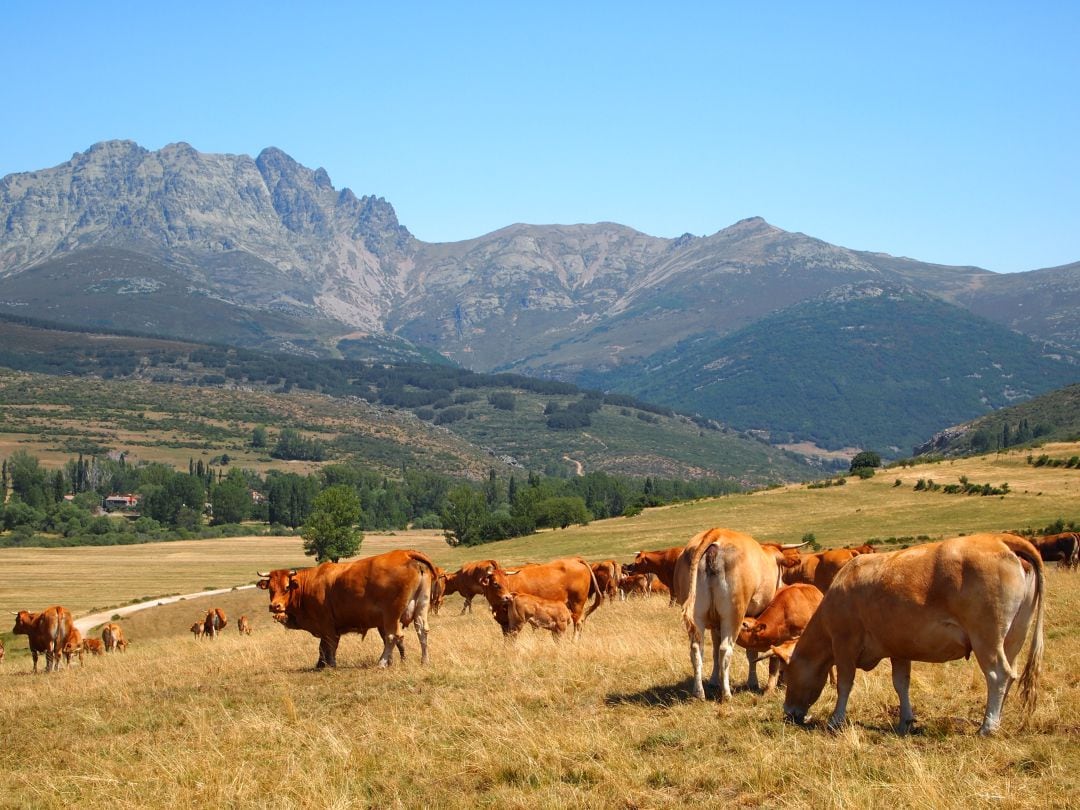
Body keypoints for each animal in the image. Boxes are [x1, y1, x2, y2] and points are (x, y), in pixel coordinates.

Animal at [254, 548, 436, 669]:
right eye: (270, 588)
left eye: (286, 587)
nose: (274, 606)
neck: (308, 584)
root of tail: (406, 553)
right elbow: (322, 647)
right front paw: (320, 664)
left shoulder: (326, 624)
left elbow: (330, 644)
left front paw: (330, 664)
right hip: (420, 607)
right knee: (422, 631)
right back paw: (425, 660)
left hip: (391, 614)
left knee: (393, 636)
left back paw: (382, 662)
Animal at [678, 533, 807, 704]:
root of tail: (715, 533)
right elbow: (751, 653)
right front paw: (752, 682)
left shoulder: (716, 625)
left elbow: (714, 651)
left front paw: (714, 680)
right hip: (733, 615)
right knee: (725, 650)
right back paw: (726, 694)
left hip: (697, 616)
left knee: (697, 649)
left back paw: (699, 693)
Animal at [786, 535, 1045, 738]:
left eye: (788, 676)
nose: (787, 711)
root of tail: (1000, 539)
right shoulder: (898, 648)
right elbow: (901, 684)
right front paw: (906, 720)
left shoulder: (844, 643)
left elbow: (844, 684)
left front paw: (835, 719)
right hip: (1013, 638)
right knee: (1010, 675)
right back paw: (997, 719)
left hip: (986, 638)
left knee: (998, 675)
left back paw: (988, 726)